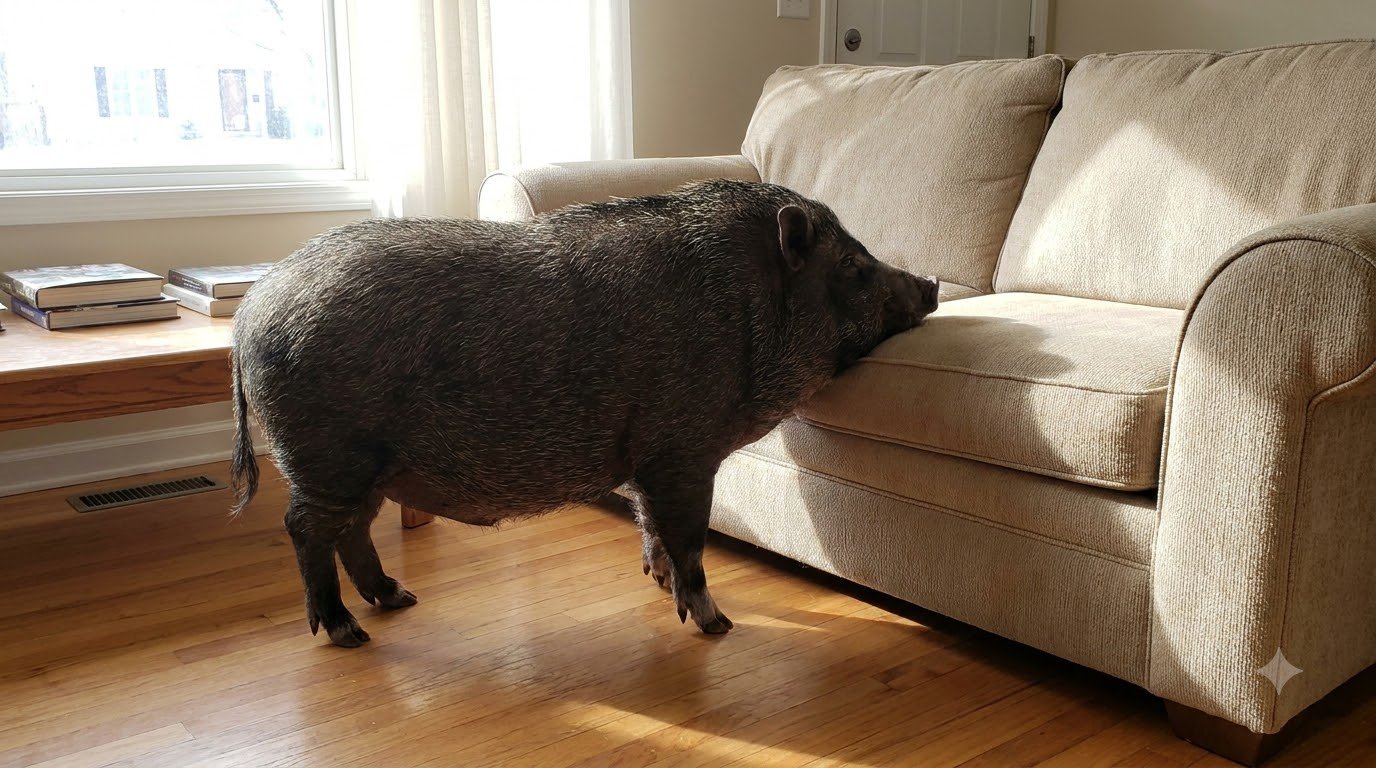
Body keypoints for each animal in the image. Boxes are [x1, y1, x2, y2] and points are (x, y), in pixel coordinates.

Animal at [230, 179, 939, 647]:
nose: (931, 284)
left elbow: (650, 526)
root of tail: (252, 310)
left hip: (367, 468)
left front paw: (657, 585)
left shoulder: (647, 461)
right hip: (331, 456)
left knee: (351, 531)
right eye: (854, 268)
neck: (746, 307)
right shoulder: (682, 451)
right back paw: (348, 632)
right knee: (305, 529)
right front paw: (717, 626)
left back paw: (398, 600)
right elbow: (689, 538)